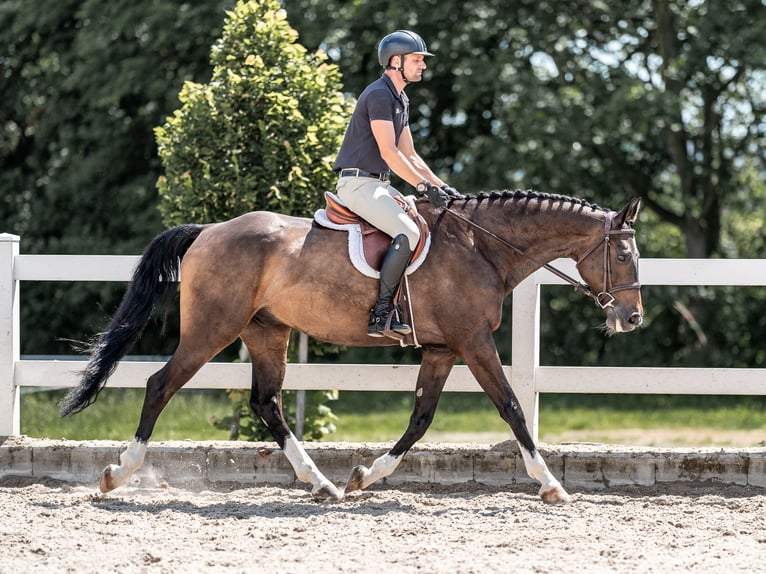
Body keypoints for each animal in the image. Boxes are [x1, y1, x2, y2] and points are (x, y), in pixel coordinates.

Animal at [60, 190, 644, 504]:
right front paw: (551, 485)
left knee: (267, 403)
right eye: (625, 256)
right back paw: (118, 473)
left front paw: (366, 475)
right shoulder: (473, 342)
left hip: (266, 331)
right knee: (160, 385)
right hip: (213, 329)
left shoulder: (441, 349)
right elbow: (513, 408)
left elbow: (421, 419)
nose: (632, 318)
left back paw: (321, 483)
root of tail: (210, 230)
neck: (482, 247)